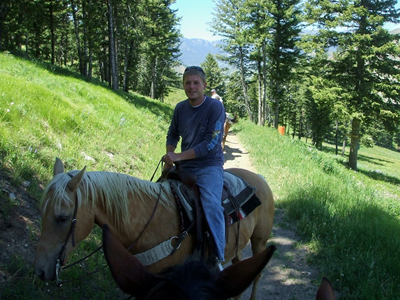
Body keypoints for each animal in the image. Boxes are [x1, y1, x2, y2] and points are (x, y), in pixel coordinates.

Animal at [35, 158, 276, 298]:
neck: (147, 221)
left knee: (256, 275)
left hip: (259, 241)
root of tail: (260, 179)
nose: (41, 270)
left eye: (62, 217)